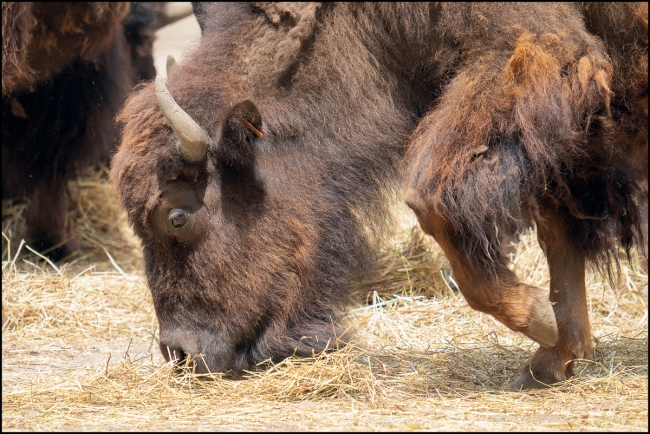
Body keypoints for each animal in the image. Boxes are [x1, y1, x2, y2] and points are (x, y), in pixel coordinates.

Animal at [111, 3, 647, 388]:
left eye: (177, 216)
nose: (180, 353)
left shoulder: (533, 51)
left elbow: (430, 201)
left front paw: (541, 323)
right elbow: (557, 231)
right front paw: (554, 356)